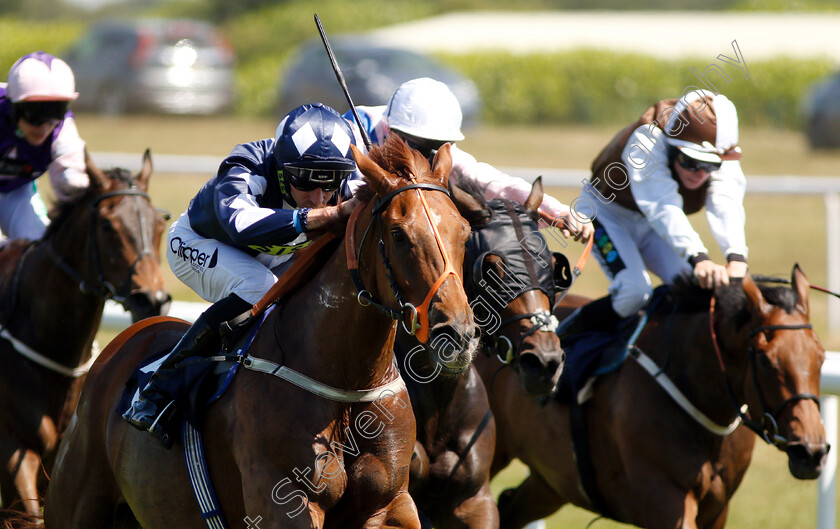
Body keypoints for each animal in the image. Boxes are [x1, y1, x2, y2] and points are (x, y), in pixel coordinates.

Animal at [44, 137, 480, 528]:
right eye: (399, 235)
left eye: (463, 230)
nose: (457, 334)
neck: (347, 382)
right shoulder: (285, 503)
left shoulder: (390, 503)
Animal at [480, 266, 828, 528]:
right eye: (766, 360)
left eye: (821, 356)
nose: (811, 452)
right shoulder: (664, 499)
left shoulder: (718, 508)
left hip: (553, 479)